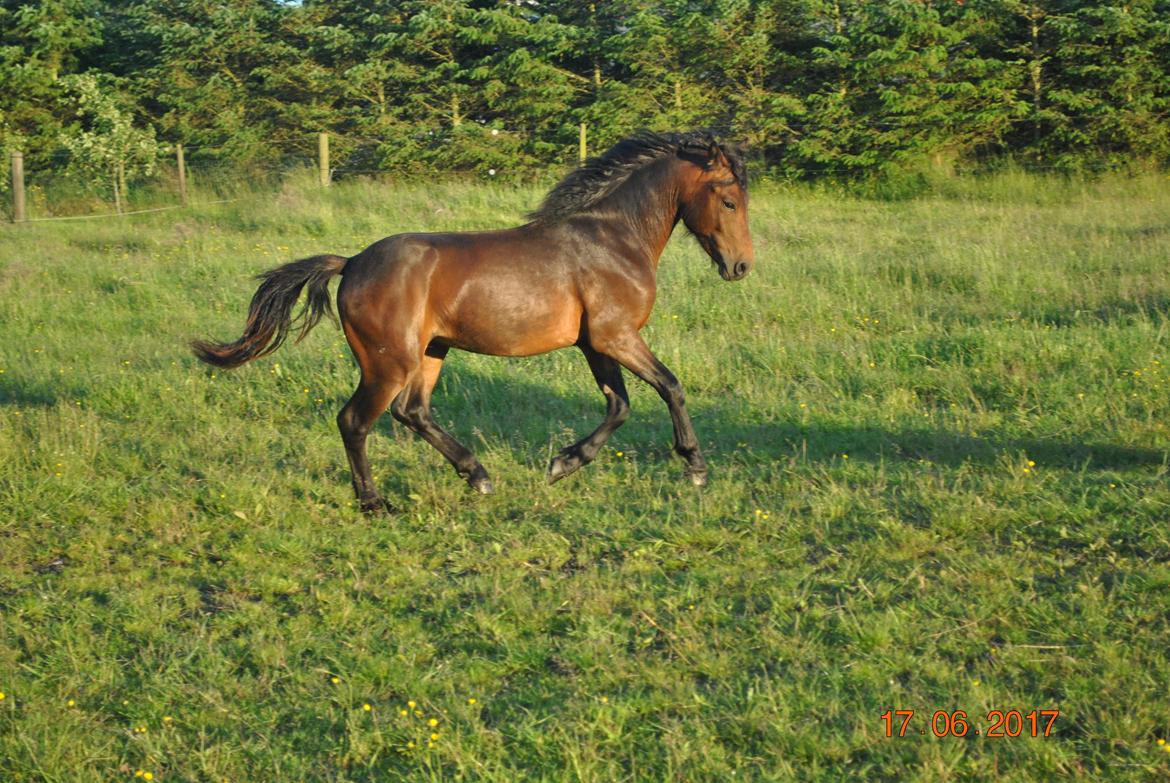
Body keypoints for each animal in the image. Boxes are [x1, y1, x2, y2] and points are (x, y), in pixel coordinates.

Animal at [193, 130, 753, 510]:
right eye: (729, 200)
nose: (741, 267)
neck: (612, 238)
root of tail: (350, 263)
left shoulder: (596, 343)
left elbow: (618, 406)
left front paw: (562, 464)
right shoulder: (616, 336)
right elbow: (670, 386)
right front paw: (696, 467)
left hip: (430, 351)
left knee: (412, 412)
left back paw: (477, 474)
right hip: (387, 362)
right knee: (356, 420)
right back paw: (375, 503)